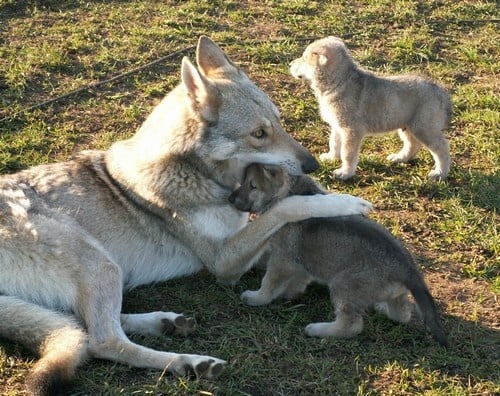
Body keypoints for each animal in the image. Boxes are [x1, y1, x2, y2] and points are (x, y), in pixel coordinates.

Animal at [230, 162, 450, 344]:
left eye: (252, 185)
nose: (230, 198)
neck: (288, 191)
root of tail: (407, 269)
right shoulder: (301, 260)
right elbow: (298, 280)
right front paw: (289, 293)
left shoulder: (282, 259)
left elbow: (269, 282)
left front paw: (258, 297)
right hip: (390, 292)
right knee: (402, 313)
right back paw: (382, 307)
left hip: (344, 285)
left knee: (352, 325)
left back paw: (318, 329)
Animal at [290, 36, 454, 180]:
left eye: (304, 58)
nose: (290, 64)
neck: (339, 81)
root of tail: (440, 90)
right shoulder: (337, 126)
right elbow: (334, 143)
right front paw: (331, 157)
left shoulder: (351, 131)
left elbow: (347, 153)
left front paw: (345, 173)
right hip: (408, 126)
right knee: (413, 144)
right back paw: (400, 158)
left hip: (424, 128)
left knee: (442, 148)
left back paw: (440, 173)